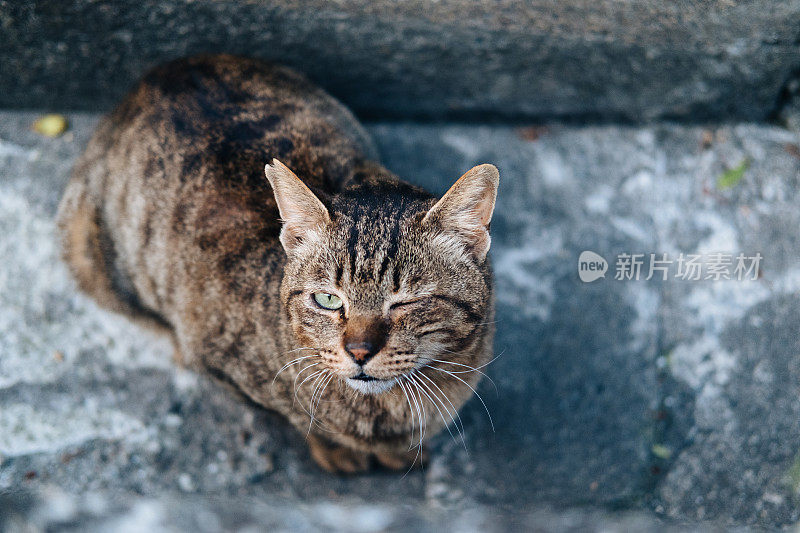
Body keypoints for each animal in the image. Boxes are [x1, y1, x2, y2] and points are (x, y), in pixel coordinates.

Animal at [57, 53, 494, 470]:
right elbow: (304, 419)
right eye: (328, 300)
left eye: (408, 302)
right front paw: (338, 449)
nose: (358, 352)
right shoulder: (213, 361)